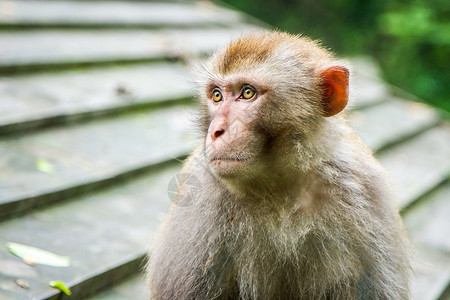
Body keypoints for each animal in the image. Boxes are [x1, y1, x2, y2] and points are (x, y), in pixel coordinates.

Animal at [145, 31, 412, 298]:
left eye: (248, 93)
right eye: (217, 95)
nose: (216, 131)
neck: (279, 189)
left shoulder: (366, 190)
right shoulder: (199, 195)